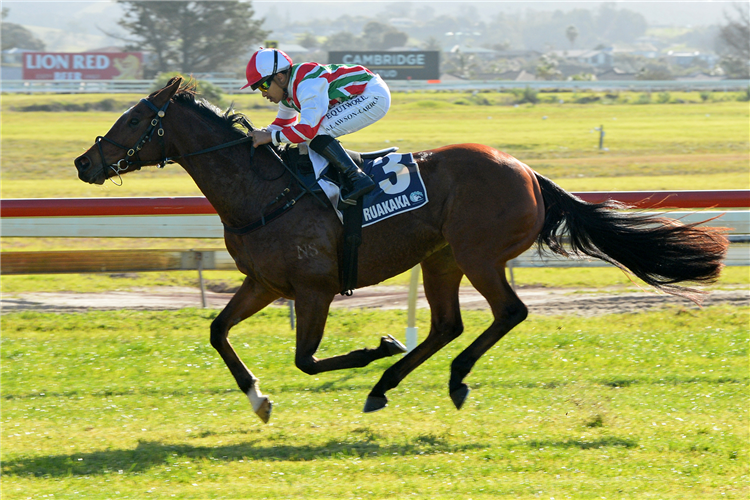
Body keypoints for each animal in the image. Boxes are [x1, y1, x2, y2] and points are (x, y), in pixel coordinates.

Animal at [73, 77, 732, 422]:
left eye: (133, 121)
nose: (84, 163)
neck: (264, 191)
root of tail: (526, 170)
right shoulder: (265, 283)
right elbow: (217, 332)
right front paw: (258, 399)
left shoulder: (313, 289)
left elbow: (307, 360)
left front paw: (379, 345)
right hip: (440, 258)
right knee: (447, 325)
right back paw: (386, 385)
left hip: (477, 254)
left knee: (508, 313)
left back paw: (444, 377)